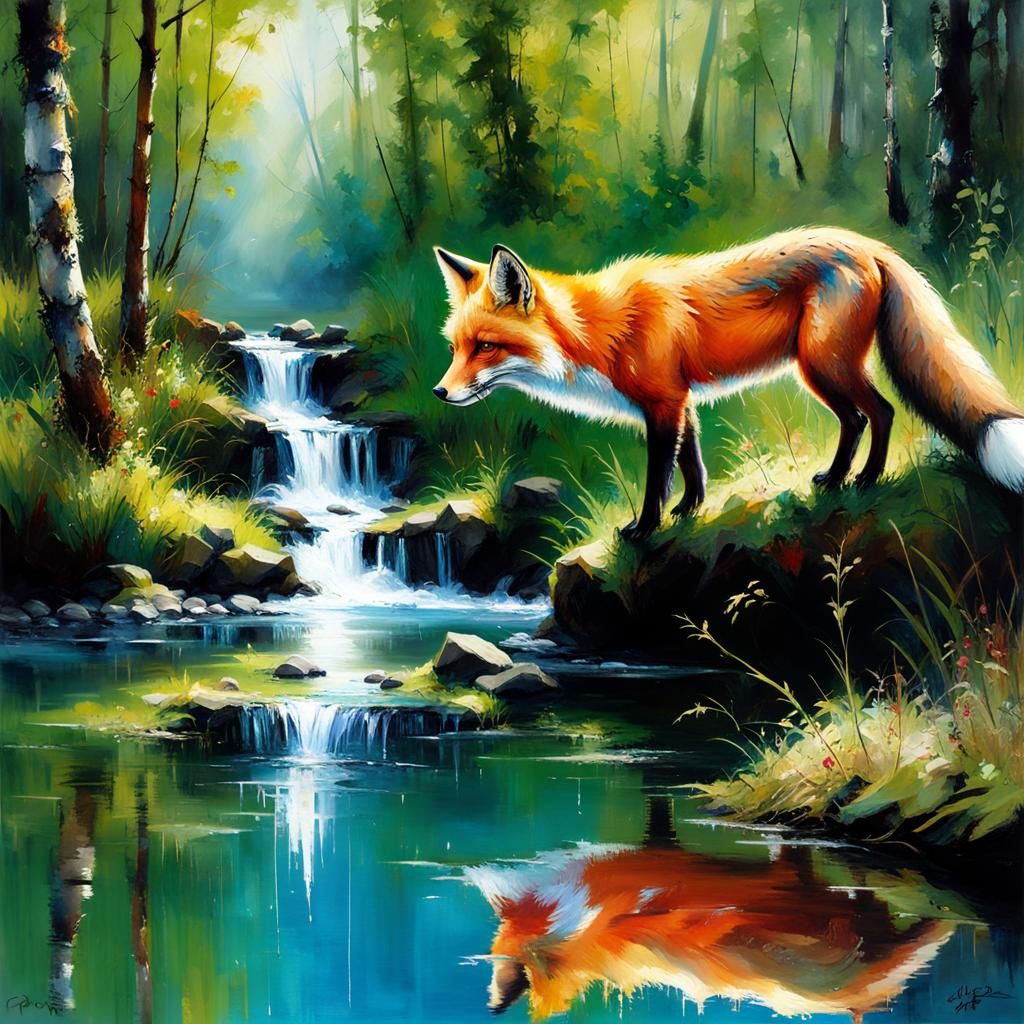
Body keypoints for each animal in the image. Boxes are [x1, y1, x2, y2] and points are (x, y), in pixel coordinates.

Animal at [433, 228, 1024, 538]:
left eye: (486, 346)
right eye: (455, 347)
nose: (440, 393)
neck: (600, 330)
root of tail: (867, 243)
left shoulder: (663, 403)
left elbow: (658, 474)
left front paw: (645, 529)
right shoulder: (682, 400)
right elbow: (692, 461)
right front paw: (691, 510)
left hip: (823, 367)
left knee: (878, 412)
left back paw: (863, 480)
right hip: (820, 370)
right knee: (859, 419)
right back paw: (836, 479)